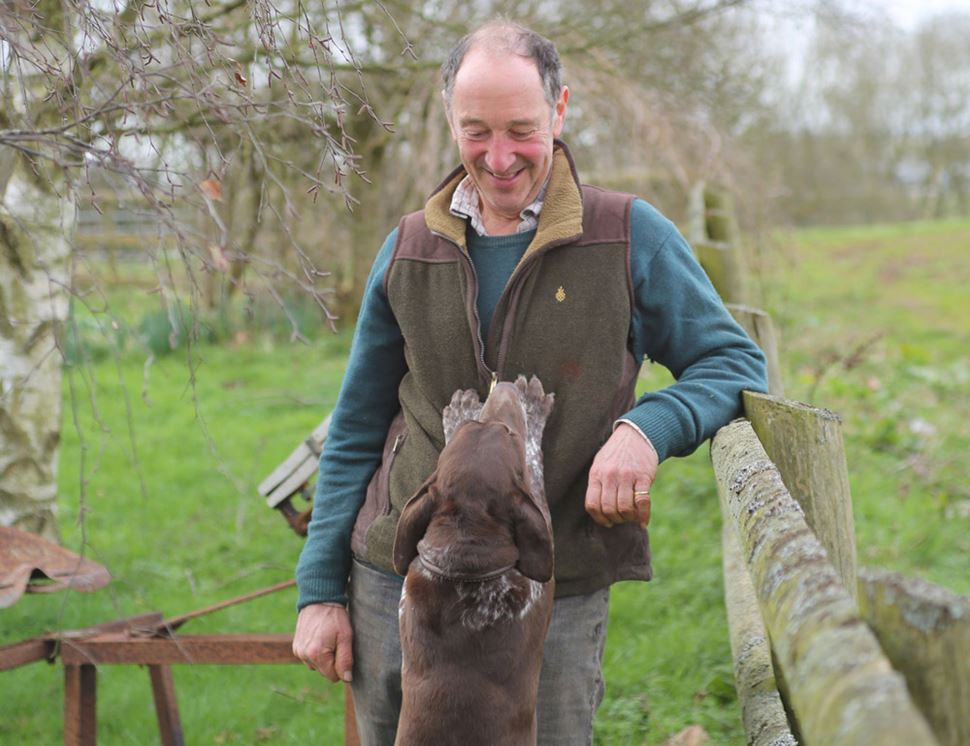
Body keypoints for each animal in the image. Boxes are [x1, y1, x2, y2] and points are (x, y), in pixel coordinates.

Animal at [392, 378, 552, 744]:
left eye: (474, 427)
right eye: (510, 432)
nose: (503, 386)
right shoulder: (540, 581)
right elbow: (536, 469)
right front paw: (533, 408)